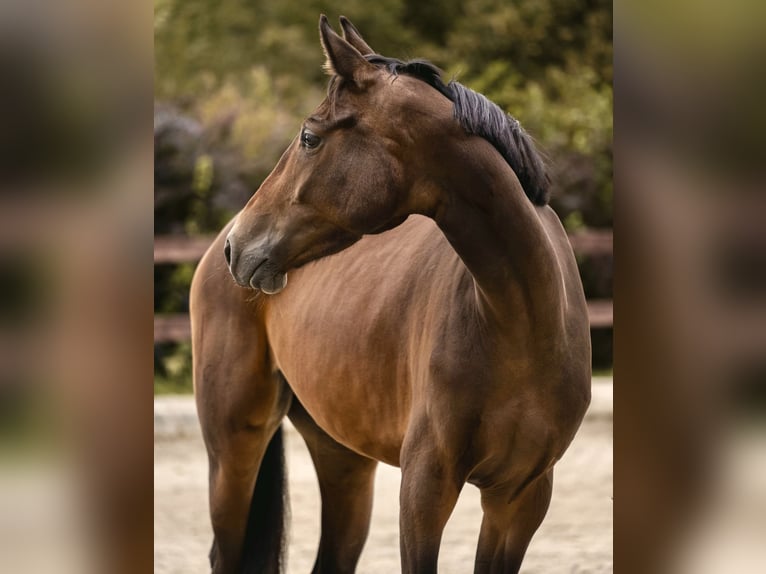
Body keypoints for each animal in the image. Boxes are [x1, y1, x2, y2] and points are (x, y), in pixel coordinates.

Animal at [194, 14, 592, 574]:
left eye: (310, 137)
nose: (240, 246)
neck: (523, 321)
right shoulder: (425, 489)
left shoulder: (519, 499)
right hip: (233, 449)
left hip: (344, 460)